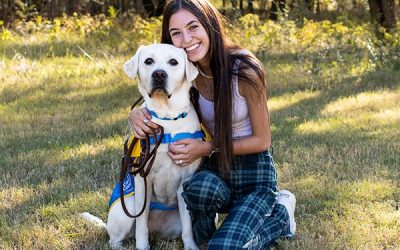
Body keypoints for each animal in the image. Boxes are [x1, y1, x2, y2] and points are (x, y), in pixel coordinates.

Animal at [83, 44, 202, 249]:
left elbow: (188, 227)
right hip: (126, 209)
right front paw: (142, 246)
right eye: (149, 61)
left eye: (173, 62)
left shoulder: (185, 181)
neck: (166, 118)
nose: (159, 74)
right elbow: (141, 225)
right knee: (115, 238)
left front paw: (191, 247)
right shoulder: (142, 180)